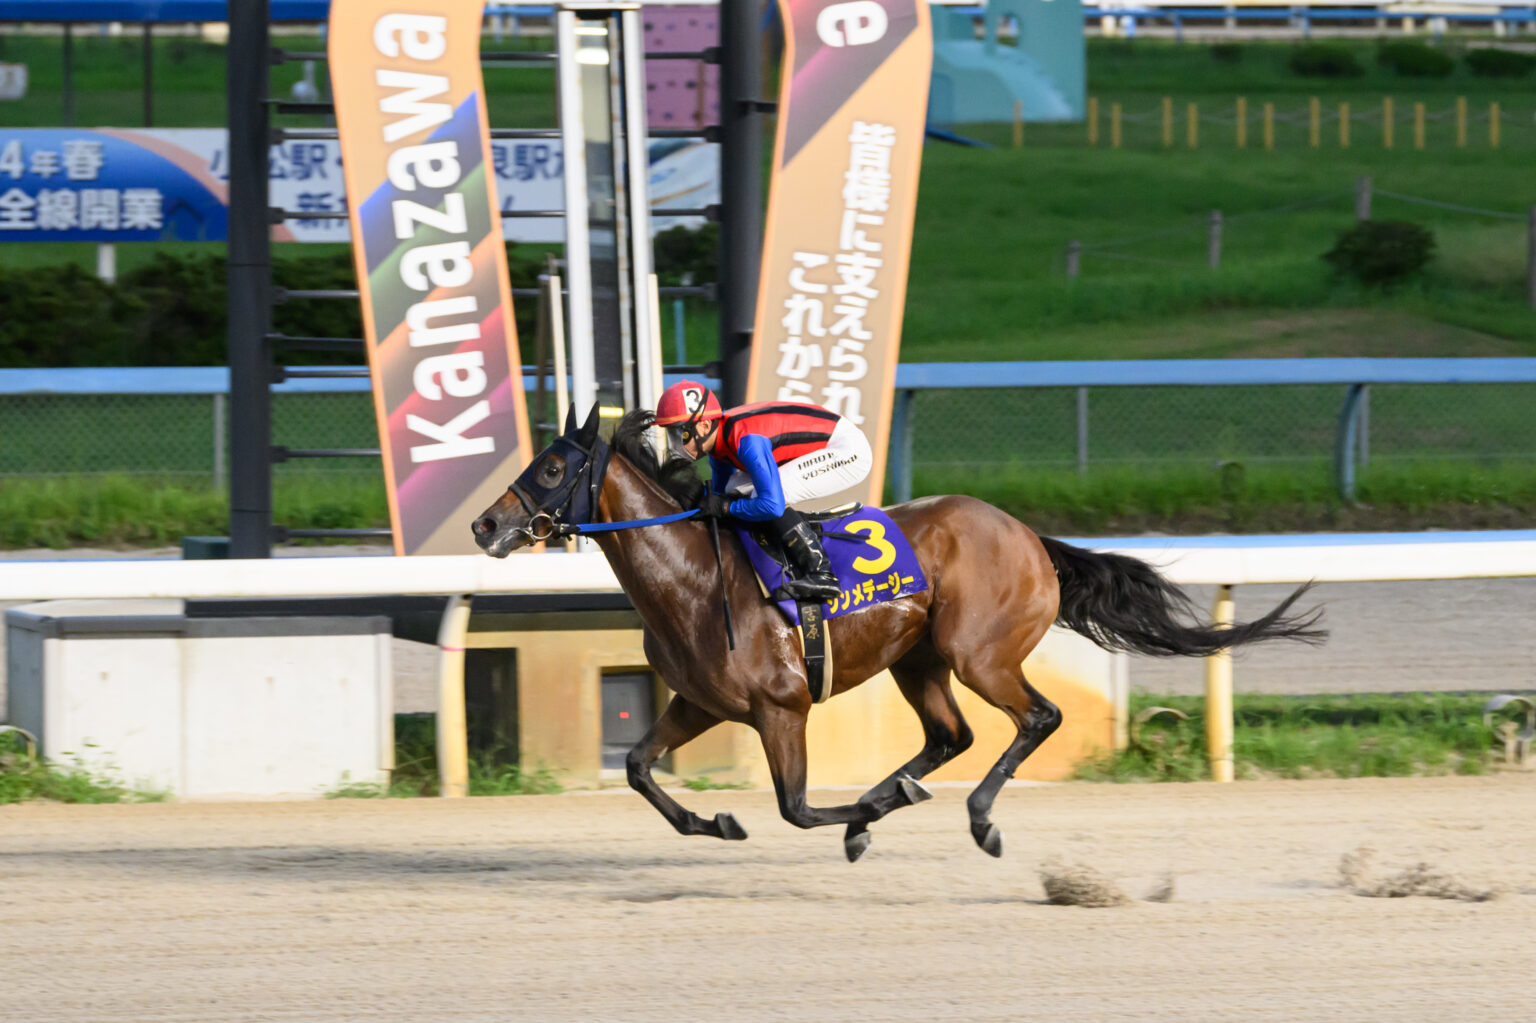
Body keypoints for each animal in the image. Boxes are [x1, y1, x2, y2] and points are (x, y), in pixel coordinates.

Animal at [470, 402, 1320, 854]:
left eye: (552, 467)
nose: (484, 524)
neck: (694, 577)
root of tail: (1030, 537)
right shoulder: (700, 701)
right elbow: (641, 768)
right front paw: (718, 820)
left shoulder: (782, 707)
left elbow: (797, 805)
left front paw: (862, 819)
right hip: (918, 659)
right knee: (952, 735)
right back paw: (905, 790)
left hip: (979, 654)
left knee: (1036, 716)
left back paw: (976, 817)